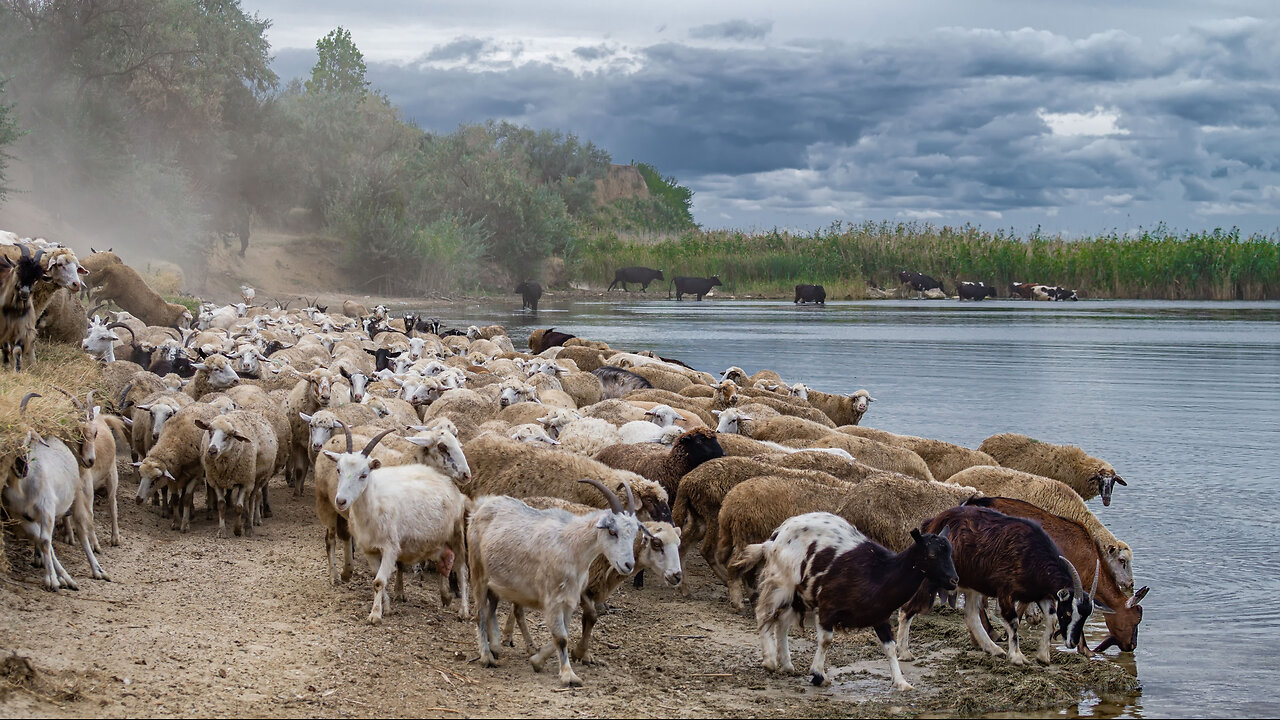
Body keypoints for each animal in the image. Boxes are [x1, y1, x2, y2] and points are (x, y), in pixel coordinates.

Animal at [325, 425, 476, 622]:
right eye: (338, 470)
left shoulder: (391, 547)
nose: (341, 501)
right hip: (437, 538)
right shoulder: (369, 550)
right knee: (445, 560)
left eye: (364, 475)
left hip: (456, 533)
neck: (374, 506)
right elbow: (377, 579)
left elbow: (379, 581)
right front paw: (387, 607)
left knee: (462, 570)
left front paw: (375, 615)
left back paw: (464, 611)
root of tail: (451, 486)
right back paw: (446, 597)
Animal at [496, 497, 680, 661]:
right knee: (517, 609)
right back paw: (529, 646)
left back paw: (508, 636)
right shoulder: (584, 585)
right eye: (657, 544)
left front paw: (584, 654)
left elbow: (587, 619)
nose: (677, 575)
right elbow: (591, 616)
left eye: (678, 544)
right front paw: (579, 652)